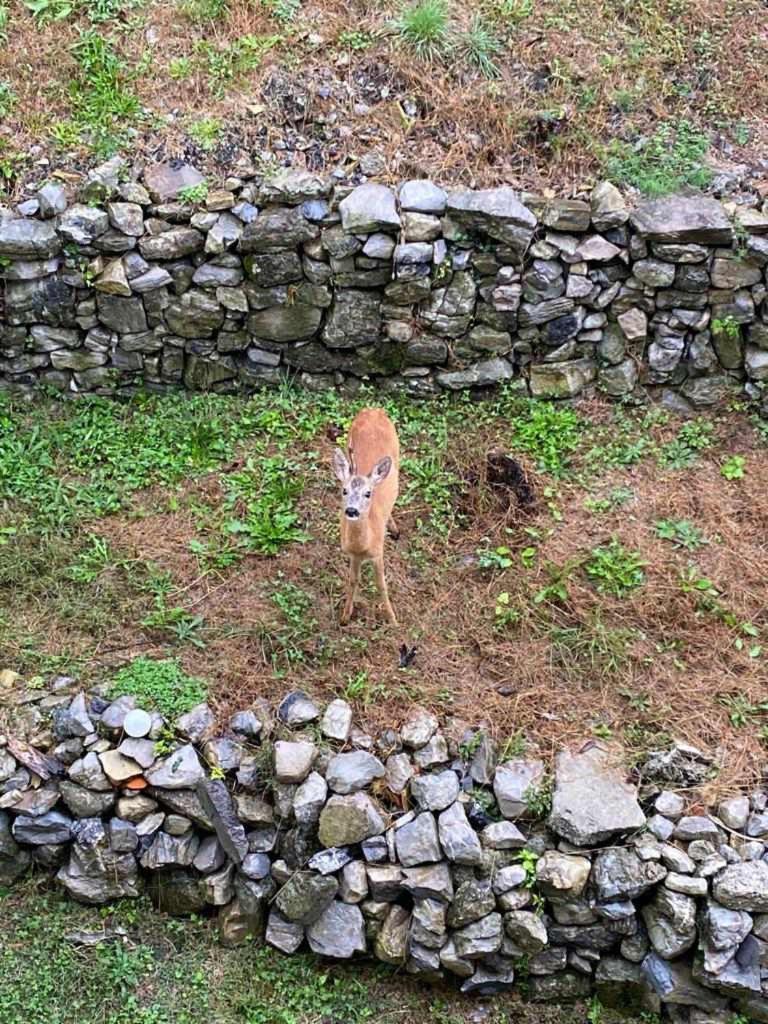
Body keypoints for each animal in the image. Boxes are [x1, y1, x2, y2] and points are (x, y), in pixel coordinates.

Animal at [331, 405, 403, 622]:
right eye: (344, 490)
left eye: (368, 493)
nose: (351, 510)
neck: (363, 546)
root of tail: (373, 409)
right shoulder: (352, 554)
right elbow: (352, 580)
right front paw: (345, 617)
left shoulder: (378, 552)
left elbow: (381, 585)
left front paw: (393, 619)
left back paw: (394, 529)